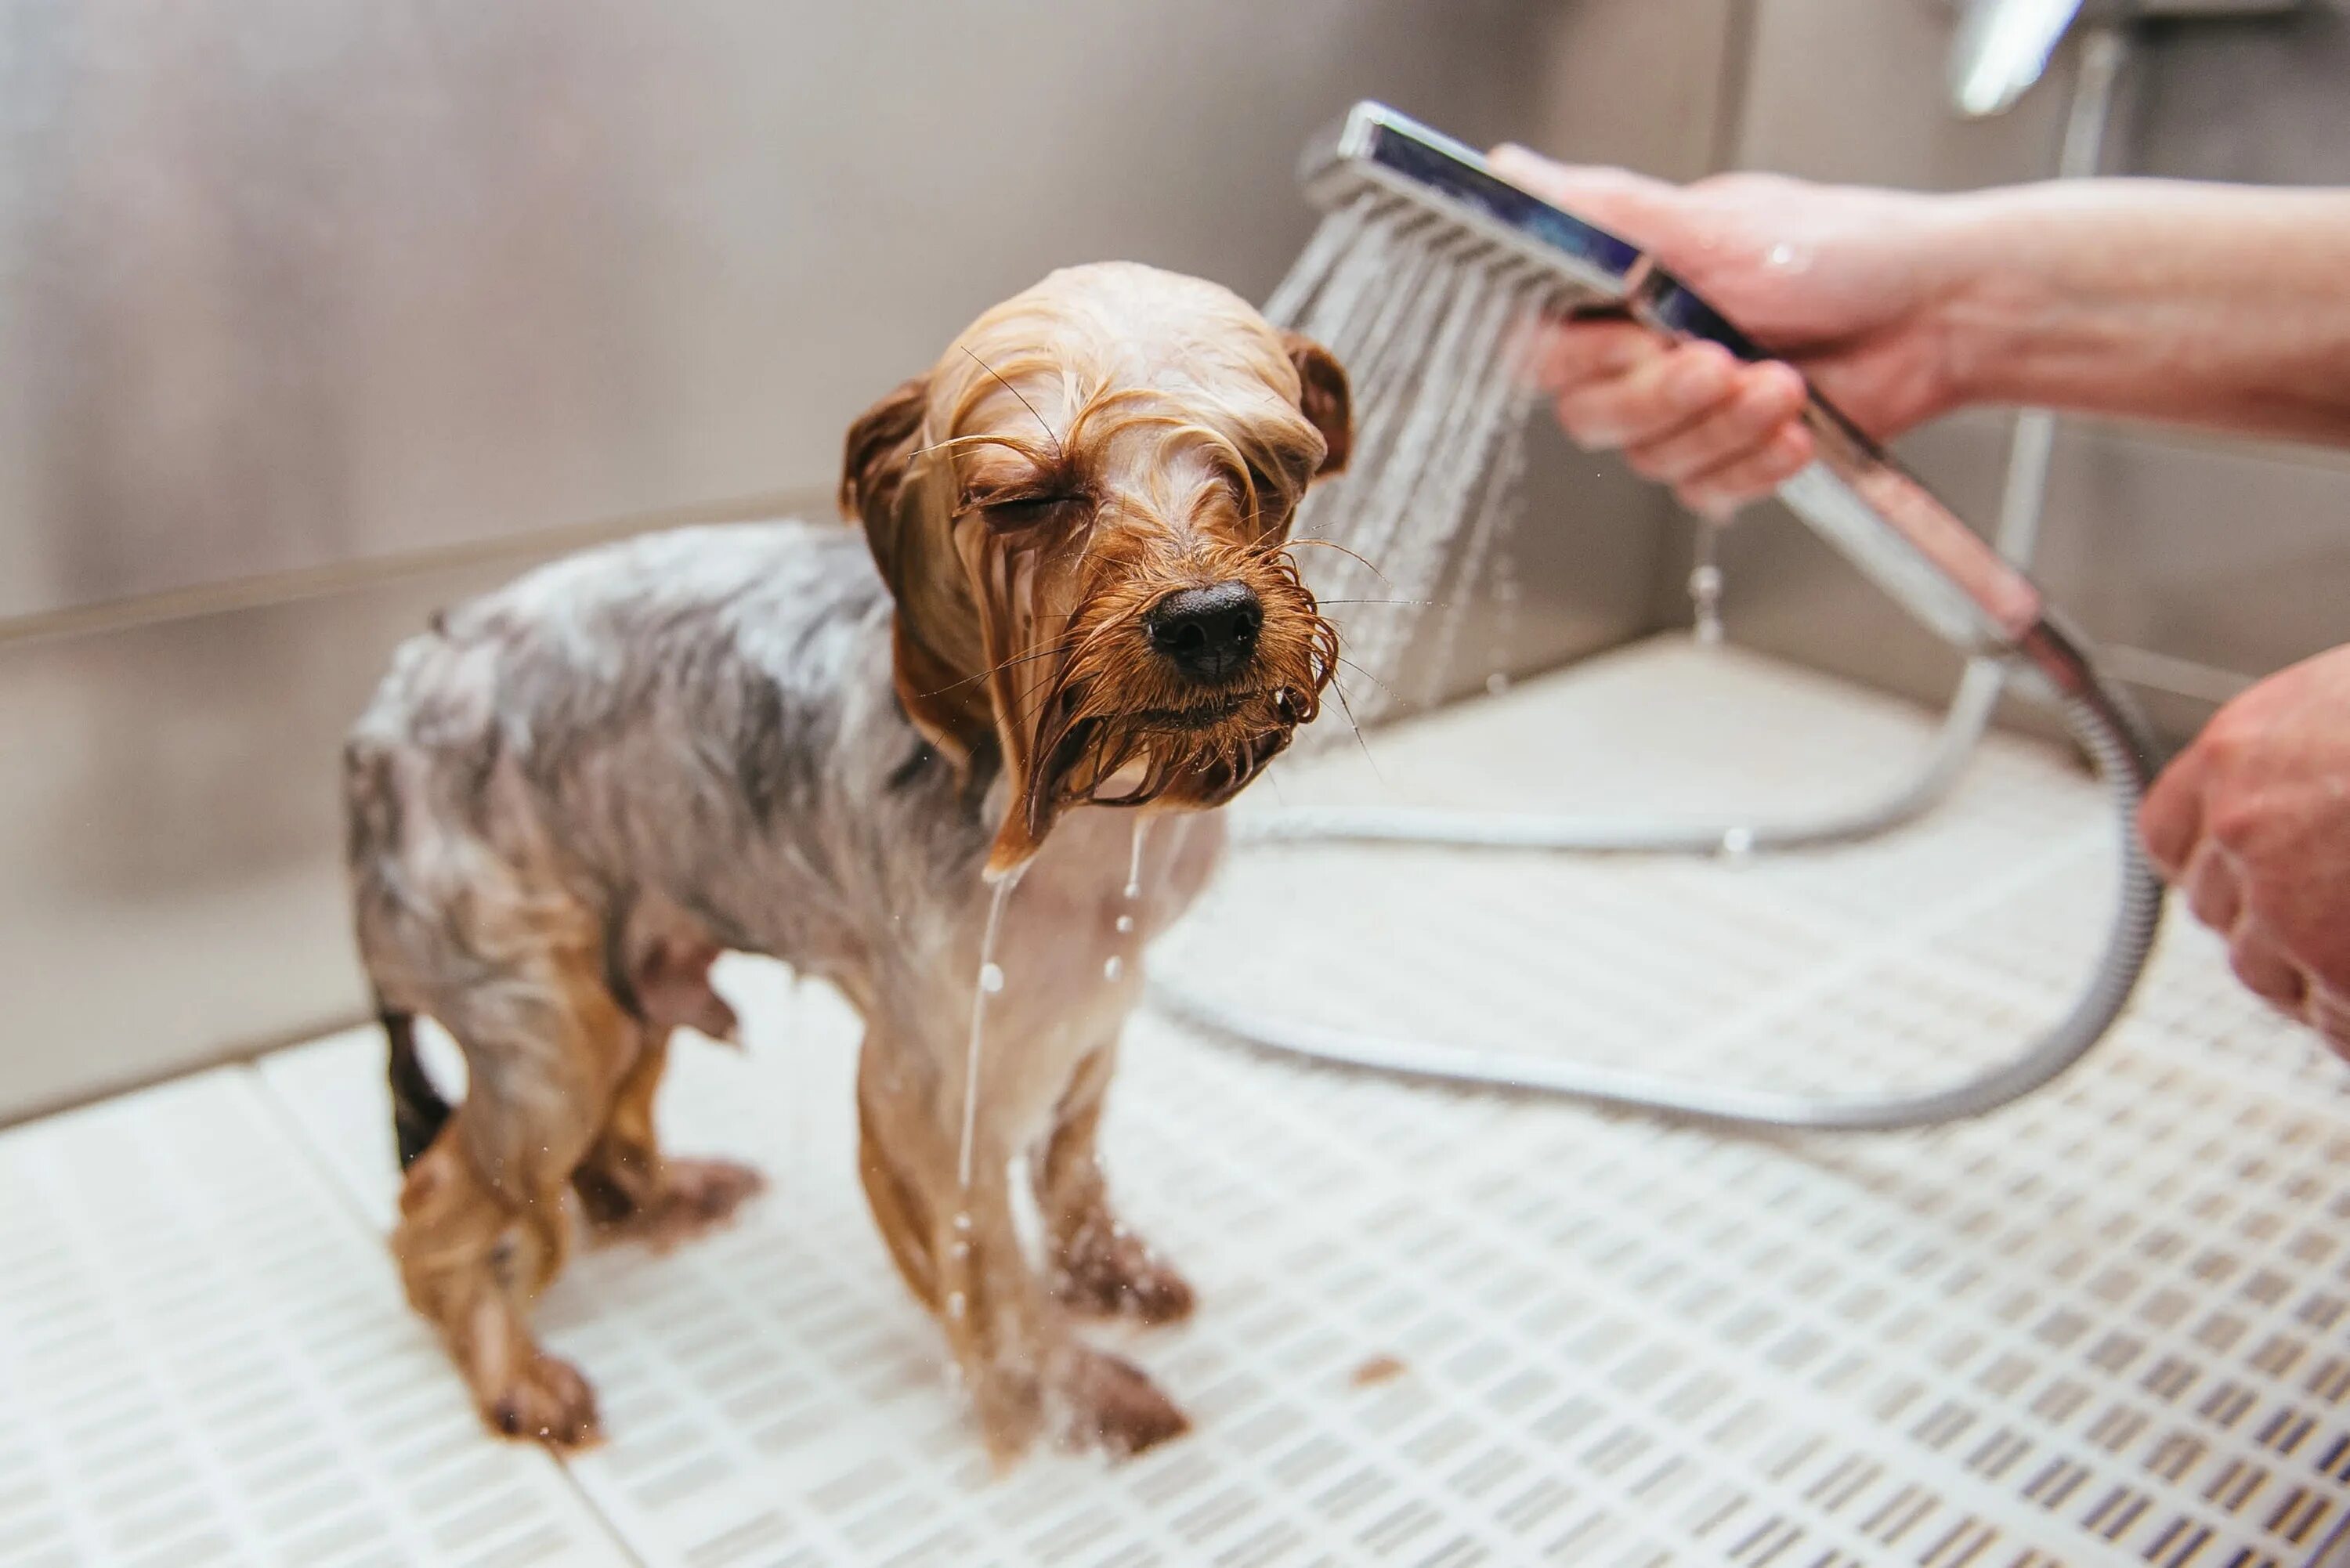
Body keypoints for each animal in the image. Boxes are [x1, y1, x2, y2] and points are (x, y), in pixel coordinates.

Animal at [341, 261, 1354, 1457]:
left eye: (1268, 469)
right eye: (1031, 499)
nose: (1209, 618)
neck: (1083, 805)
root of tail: (379, 723)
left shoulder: (1096, 996)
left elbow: (1071, 1165)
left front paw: (1111, 1271)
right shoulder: (936, 1074)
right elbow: (989, 1266)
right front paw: (1075, 1395)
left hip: (626, 968)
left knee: (595, 1147)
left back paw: (668, 1195)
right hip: (542, 1021)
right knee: (441, 1204)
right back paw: (518, 1378)